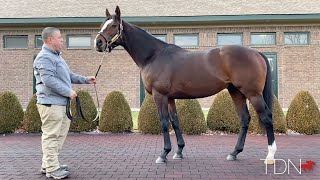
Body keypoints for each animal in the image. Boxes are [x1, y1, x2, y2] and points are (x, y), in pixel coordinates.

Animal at [94, 5, 276, 165]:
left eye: (113, 25)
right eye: (103, 24)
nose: (98, 43)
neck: (154, 56)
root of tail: (256, 52)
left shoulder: (160, 96)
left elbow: (164, 122)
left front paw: (164, 154)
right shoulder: (169, 98)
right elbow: (175, 121)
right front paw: (179, 151)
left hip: (252, 93)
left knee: (266, 117)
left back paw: (270, 156)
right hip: (236, 92)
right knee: (245, 118)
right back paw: (234, 153)